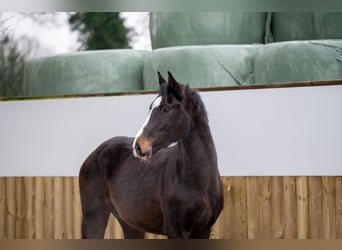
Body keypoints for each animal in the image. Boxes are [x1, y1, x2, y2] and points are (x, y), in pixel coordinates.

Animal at [80, 72, 224, 238]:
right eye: (150, 107)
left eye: (166, 108)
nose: (138, 146)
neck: (199, 184)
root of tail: (93, 156)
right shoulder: (175, 231)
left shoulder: (204, 231)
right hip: (95, 218)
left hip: (131, 225)